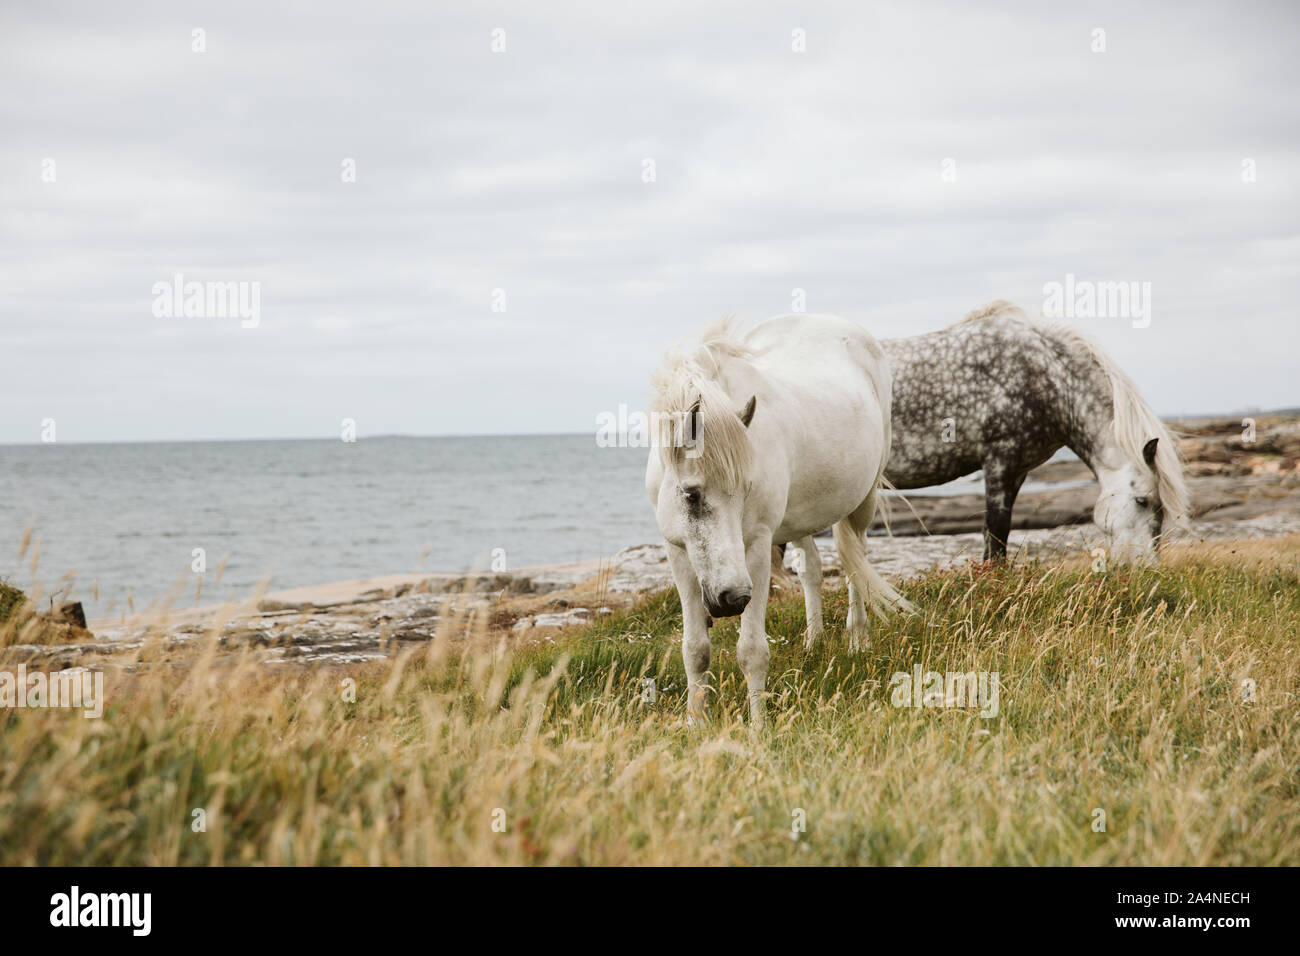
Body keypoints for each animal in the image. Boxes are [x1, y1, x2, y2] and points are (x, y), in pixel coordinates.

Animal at [645, 314, 911, 726]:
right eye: (691, 494)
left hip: (862, 502)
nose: (733, 597)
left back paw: (857, 641)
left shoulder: (755, 548)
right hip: (798, 520)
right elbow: (695, 648)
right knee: (811, 568)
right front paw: (695, 723)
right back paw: (814, 643)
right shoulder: (677, 552)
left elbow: (752, 650)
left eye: (746, 489)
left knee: (856, 566)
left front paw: (758, 727)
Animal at [880, 300, 1190, 563]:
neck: (1044, 376)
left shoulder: (1018, 470)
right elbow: (996, 532)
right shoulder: (999, 461)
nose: (1146, 566)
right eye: (1143, 501)